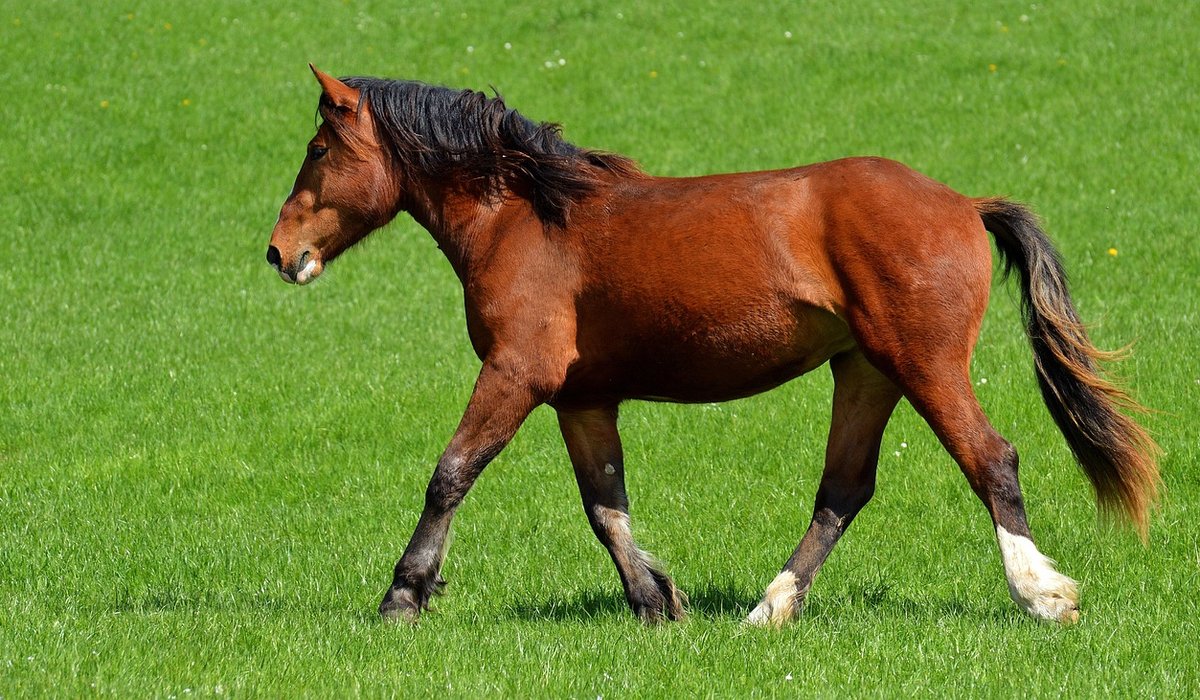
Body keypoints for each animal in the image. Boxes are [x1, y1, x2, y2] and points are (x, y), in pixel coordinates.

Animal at [267, 65, 1159, 626]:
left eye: (318, 149)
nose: (279, 253)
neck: (527, 217)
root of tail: (963, 203)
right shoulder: (582, 399)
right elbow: (606, 507)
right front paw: (656, 601)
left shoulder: (516, 374)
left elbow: (450, 475)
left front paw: (403, 596)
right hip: (866, 373)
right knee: (842, 491)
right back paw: (768, 609)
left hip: (924, 365)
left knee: (991, 460)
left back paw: (1042, 595)